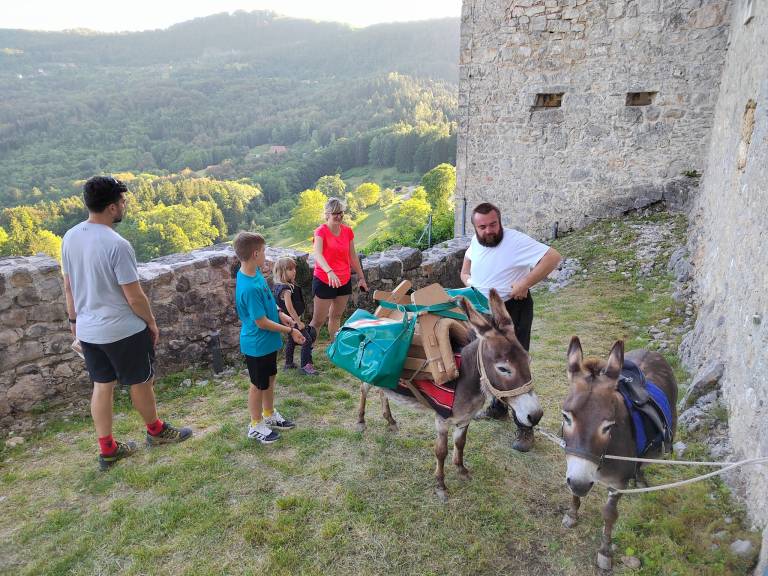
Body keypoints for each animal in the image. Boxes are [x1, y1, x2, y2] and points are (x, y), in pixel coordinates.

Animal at [356, 289, 544, 501]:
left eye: (528, 360)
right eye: (503, 369)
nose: (536, 416)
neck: (464, 379)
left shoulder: (465, 418)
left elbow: (460, 443)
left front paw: (461, 470)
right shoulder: (442, 419)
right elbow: (441, 451)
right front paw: (440, 486)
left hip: (385, 381)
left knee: (383, 392)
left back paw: (390, 420)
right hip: (369, 376)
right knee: (364, 390)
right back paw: (361, 421)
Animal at [560, 336, 678, 573]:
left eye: (608, 426)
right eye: (566, 417)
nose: (580, 483)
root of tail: (652, 351)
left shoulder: (617, 484)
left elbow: (609, 514)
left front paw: (605, 553)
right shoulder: (574, 471)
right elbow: (574, 494)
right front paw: (572, 515)